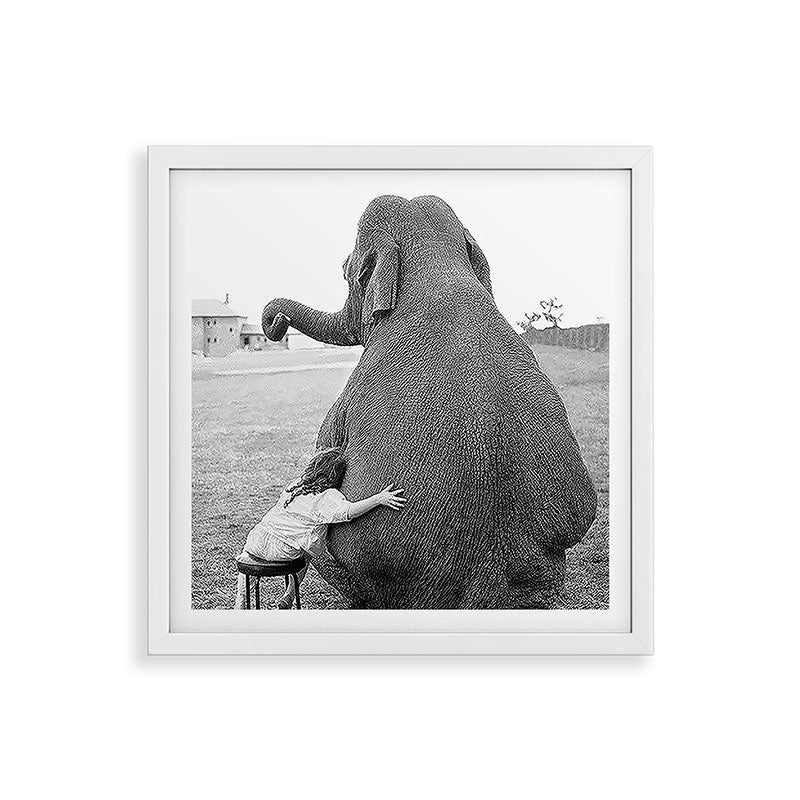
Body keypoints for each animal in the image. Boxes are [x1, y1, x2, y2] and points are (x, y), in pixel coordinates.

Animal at [262, 195, 597, 609]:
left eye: (345, 270)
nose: (275, 321)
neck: (437, 265)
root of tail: (482, 593)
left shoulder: (349, 394)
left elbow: (325, 450)